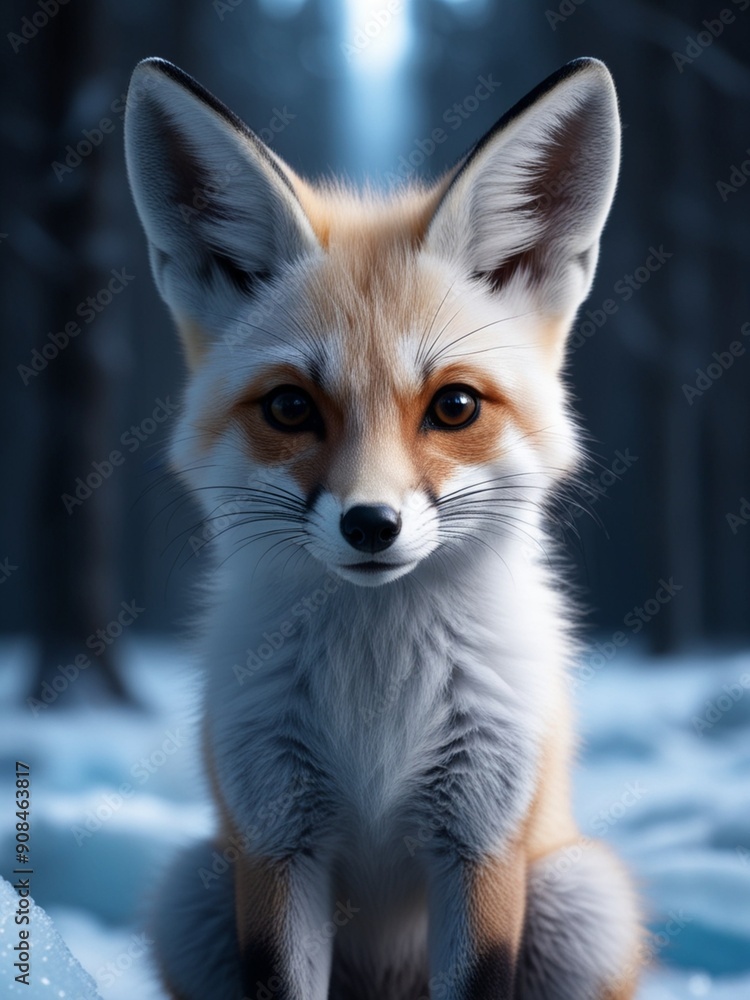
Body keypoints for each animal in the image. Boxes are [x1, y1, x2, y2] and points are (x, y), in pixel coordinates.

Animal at [124, 55, 642, 1000]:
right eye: (290, 408)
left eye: (455, 407)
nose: (372, 524)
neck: (379, 696)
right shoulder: (277, 839)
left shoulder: (478, 843)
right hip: (193, 893)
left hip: (582, 902)